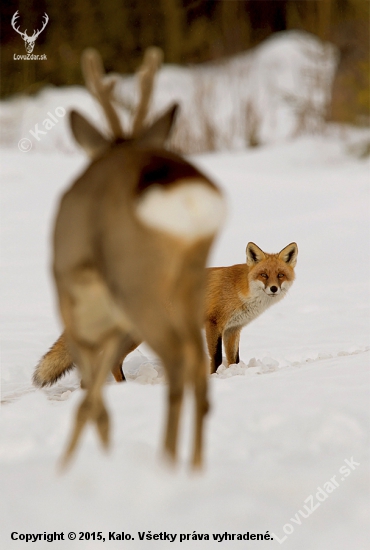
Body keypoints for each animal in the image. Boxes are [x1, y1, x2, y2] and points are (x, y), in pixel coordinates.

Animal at [33, 242, 296, 388]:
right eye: (264, 275)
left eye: (280, 275)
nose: (274, 288)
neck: (240, 289)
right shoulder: (213, 324)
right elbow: (216, 358)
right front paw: (212, 378)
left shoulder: (233, 329)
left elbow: (234, 360)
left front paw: (234, 374)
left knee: (110, 363)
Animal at [52, 46, 225, 470]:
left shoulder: (69, 295)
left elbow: (89, 391)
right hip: (188, 279)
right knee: (198, 366)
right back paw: (194, 467)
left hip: (134, 279)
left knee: (178, 361)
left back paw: (166, 464)